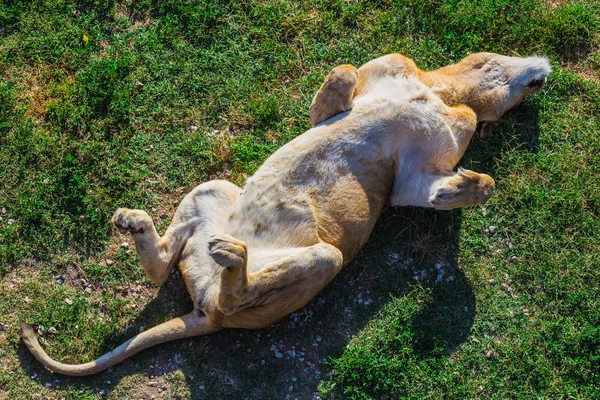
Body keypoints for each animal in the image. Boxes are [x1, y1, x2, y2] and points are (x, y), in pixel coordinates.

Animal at [21, 50, 552, 376]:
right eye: (494, 59)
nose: (543, 71)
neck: (442, 90)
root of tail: (204, 310)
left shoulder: (414, 176)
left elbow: (463, 186)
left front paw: (466, 187)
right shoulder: (373, 104)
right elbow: (343, 71)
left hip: (324, 257)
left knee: (225, 291)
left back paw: (229, 256)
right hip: (213, 188)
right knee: (163, 268)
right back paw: (136, 222)